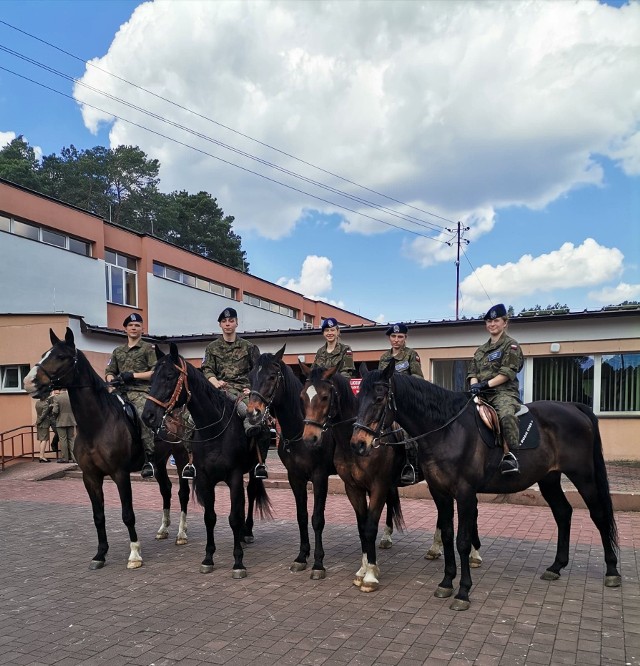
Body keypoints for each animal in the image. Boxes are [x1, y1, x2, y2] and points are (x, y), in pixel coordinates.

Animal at [22, 326, 194, 564]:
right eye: (43, 354)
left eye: (61, 356)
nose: (29, 381)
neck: (97, 425)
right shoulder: (90, 477)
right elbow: (98, 516)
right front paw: (100, 554)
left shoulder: (120, 474)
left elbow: (128, 514)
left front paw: (134, 554)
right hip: (159, 462)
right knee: (166, 490)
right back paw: (163, 529)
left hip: (180, 456)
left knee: (182, 493)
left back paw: (181, 533)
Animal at [141, 342, 272, 576]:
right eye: (152, 377)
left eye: (169, 376)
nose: (148, 416)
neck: (215, 431)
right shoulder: (204, 478)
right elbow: (210, 517)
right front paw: (208, 558)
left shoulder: (234, 476)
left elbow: (234, 517)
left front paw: (238, 562)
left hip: (254, 469)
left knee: (250, 494)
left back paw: (247, 532)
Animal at [300, 364, 404, 592]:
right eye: (302, 396)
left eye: (324, 396)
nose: (309, 439)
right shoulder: (353, 488)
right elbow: (361, 527)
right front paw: (363, 569)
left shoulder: (378, 487)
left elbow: (370, 527)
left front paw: (371, 575)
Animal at [352, 360, 624, 608]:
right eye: (358, 398)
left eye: (379, 398)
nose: (358, 444)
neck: (447, 430)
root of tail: (574, 407)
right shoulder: (440, 492)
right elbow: (448, 535)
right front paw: (446, 583)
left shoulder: (465, 493)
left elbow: (462, 540)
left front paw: (463, 592)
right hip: (549, 478)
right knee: (563, 513)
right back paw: (556, 566)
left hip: (583, 476)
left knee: (599, 515)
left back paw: (612, 571)